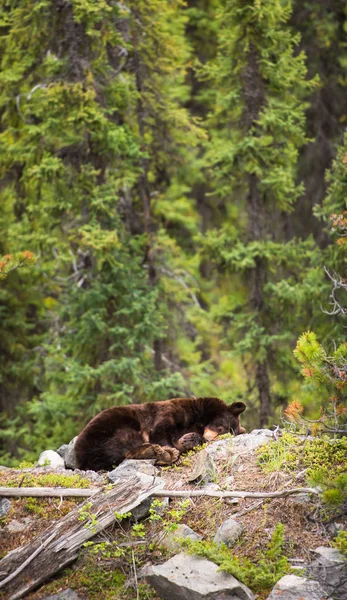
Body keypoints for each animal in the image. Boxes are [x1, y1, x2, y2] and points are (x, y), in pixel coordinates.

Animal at [75, 396, 247, 472]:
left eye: (228, 433)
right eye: (222, 427)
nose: (209, 438)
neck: (199, 419)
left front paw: (188, 440)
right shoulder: (171, 412)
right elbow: (161, 430)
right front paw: (174, 450)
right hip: (112, 424)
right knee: (121, 442)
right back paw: (160, 453)